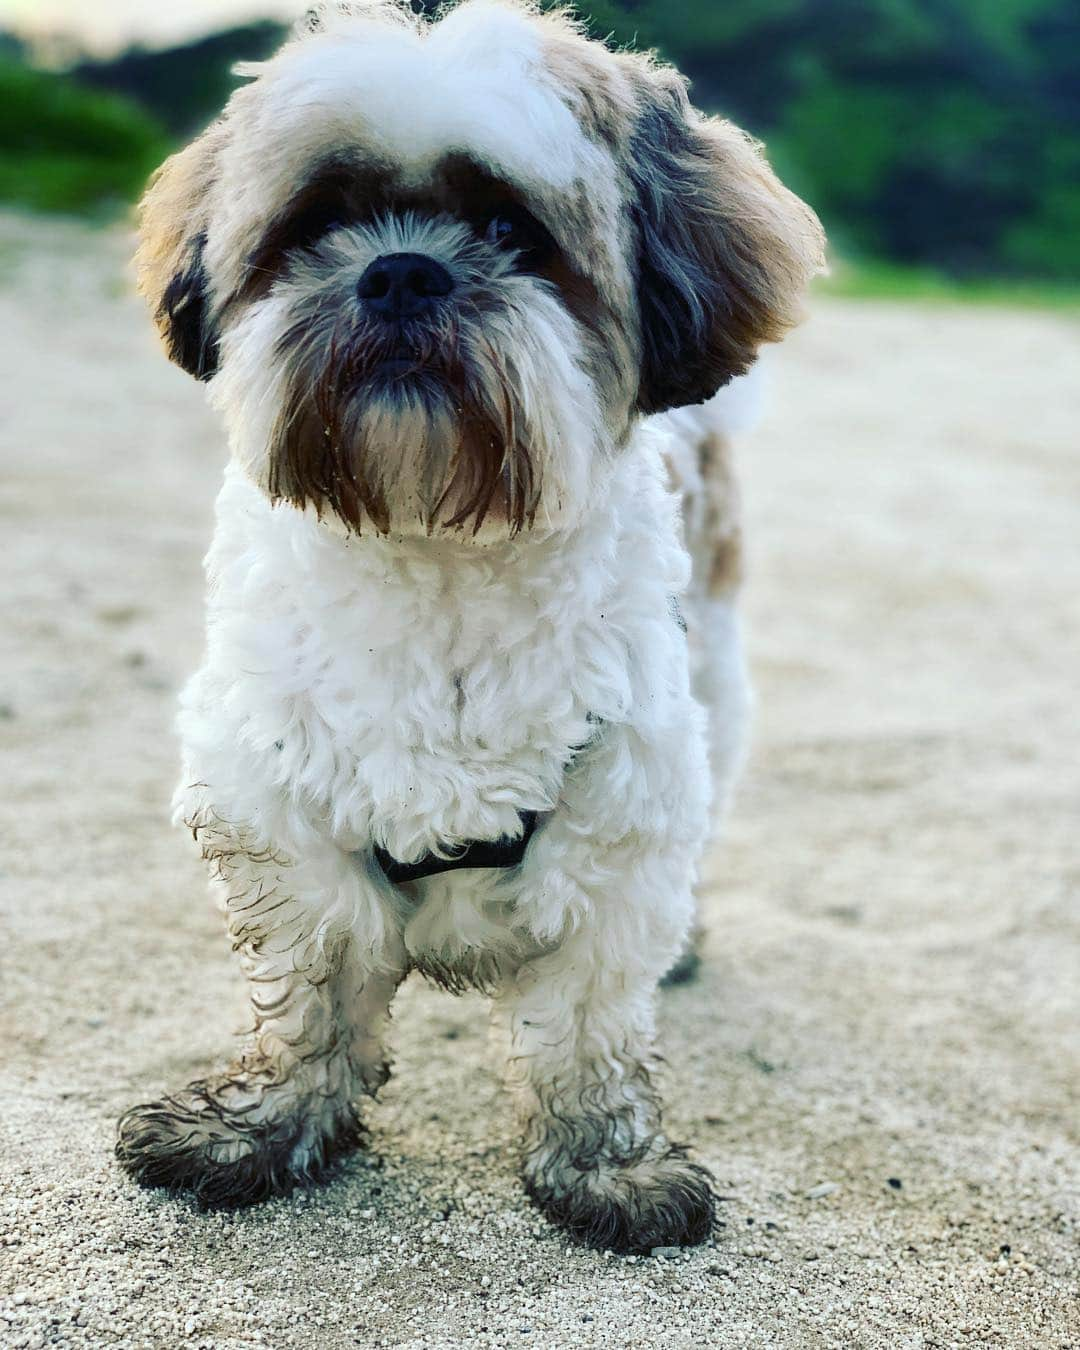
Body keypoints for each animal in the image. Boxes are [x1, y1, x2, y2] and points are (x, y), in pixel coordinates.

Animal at [116, 0, 826, 1252]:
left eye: (509, 227)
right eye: (319, 224)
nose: (402, 272)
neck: (436, 550)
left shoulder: (615, 823)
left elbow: (588, 1023)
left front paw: (604, 1165)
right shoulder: (277, 812)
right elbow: (306, 993)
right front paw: (260, 1128)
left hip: (719, 689)